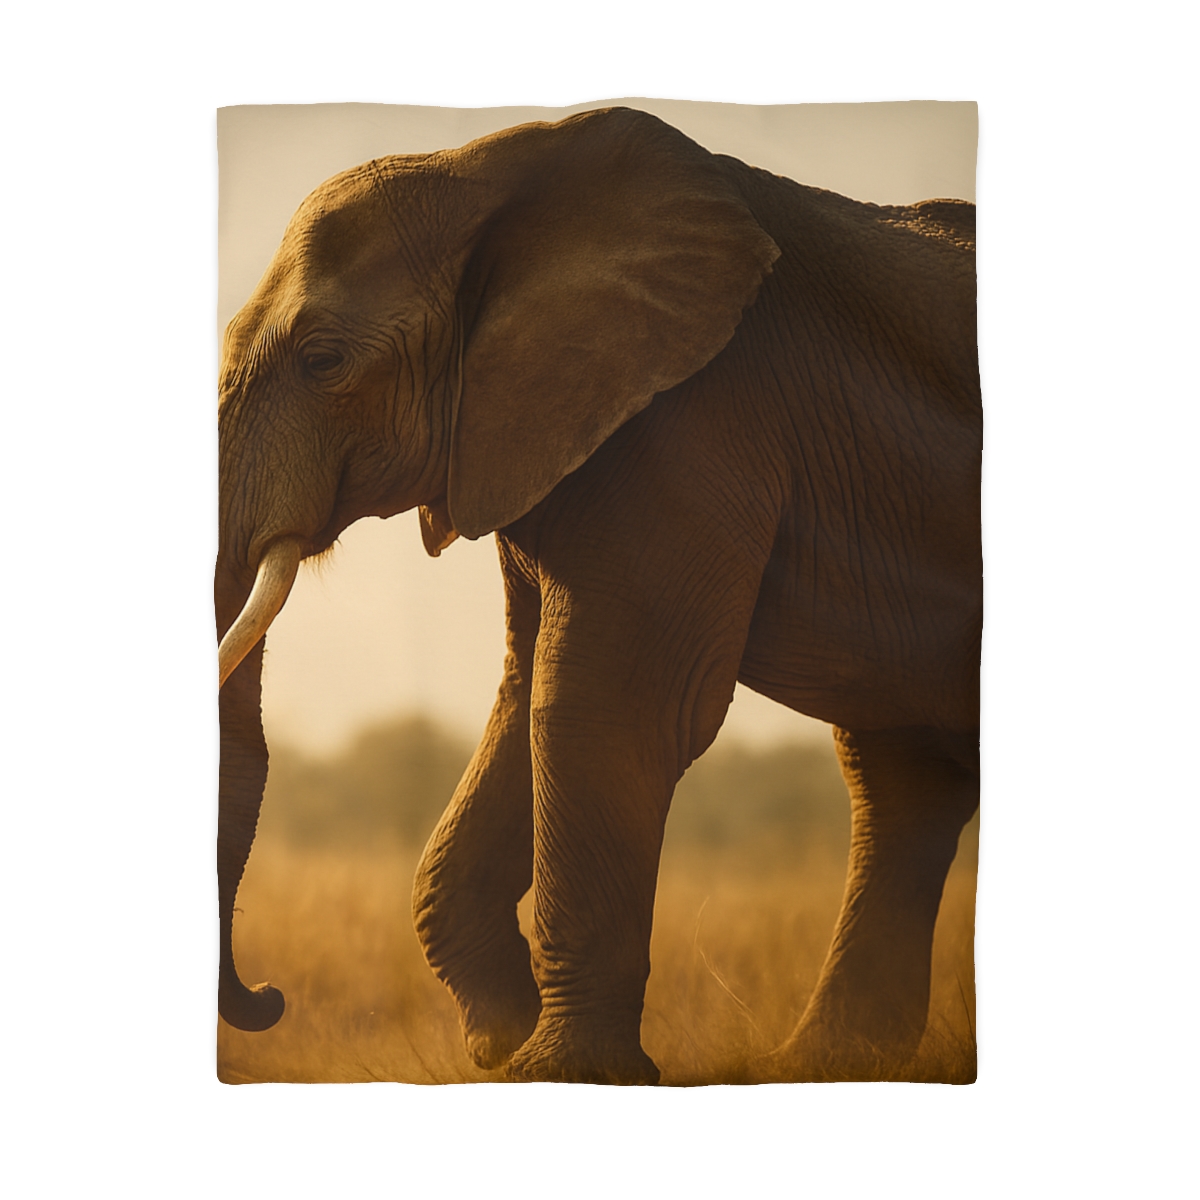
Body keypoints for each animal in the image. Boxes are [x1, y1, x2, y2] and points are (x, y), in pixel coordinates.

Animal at [216, 107, 981, 1084]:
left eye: (322, 360)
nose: (271, 998)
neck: (484, 170)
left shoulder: (692, 419)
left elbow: (601, 704)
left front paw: (551, 1071)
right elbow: (526, 696)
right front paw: (502, 1042)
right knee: (899, 775)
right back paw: (822, 1066)